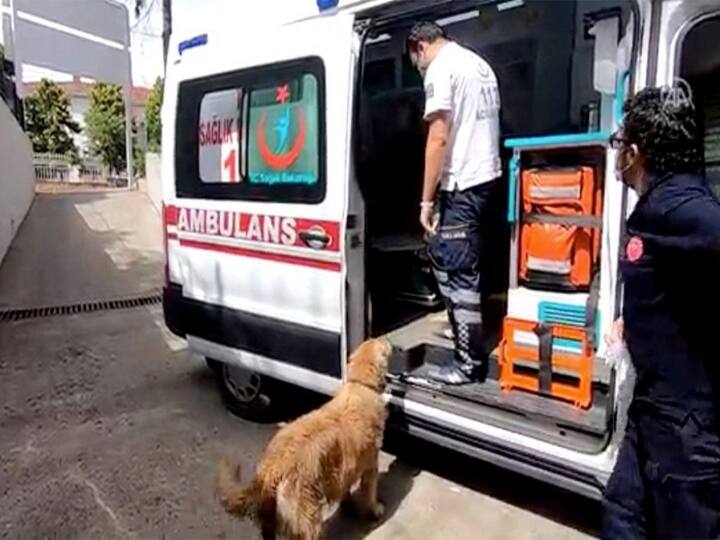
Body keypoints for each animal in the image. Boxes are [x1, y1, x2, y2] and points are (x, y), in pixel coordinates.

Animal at [217, 340, 390, 536]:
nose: (389, 342)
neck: (360, 385)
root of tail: (271, 467)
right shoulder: (371, 464)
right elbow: (370, 492)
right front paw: (375, 510)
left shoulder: (347, 467)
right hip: (308, 515)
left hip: (271, 516)